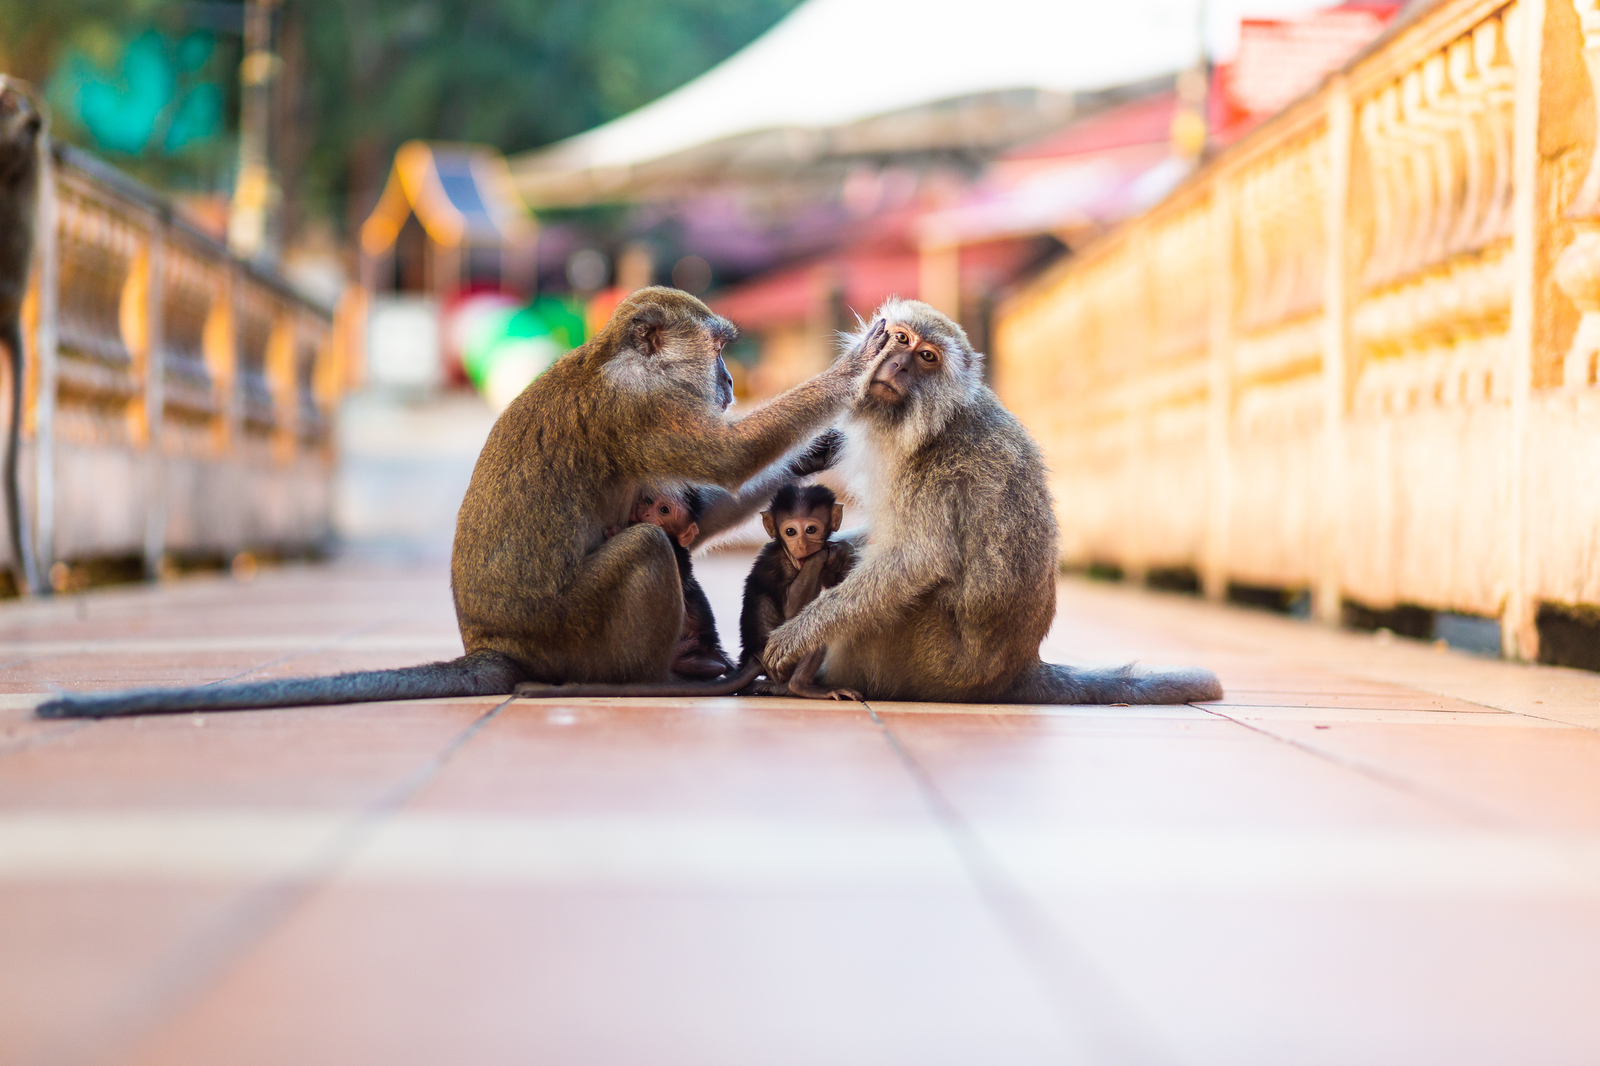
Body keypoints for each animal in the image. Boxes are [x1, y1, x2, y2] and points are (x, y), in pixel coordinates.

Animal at [518, 480, 857, 697]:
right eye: (791, 531)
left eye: (810, 528)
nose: (802, 543)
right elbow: (791, 608)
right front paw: (828, 553)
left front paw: (833, 552)